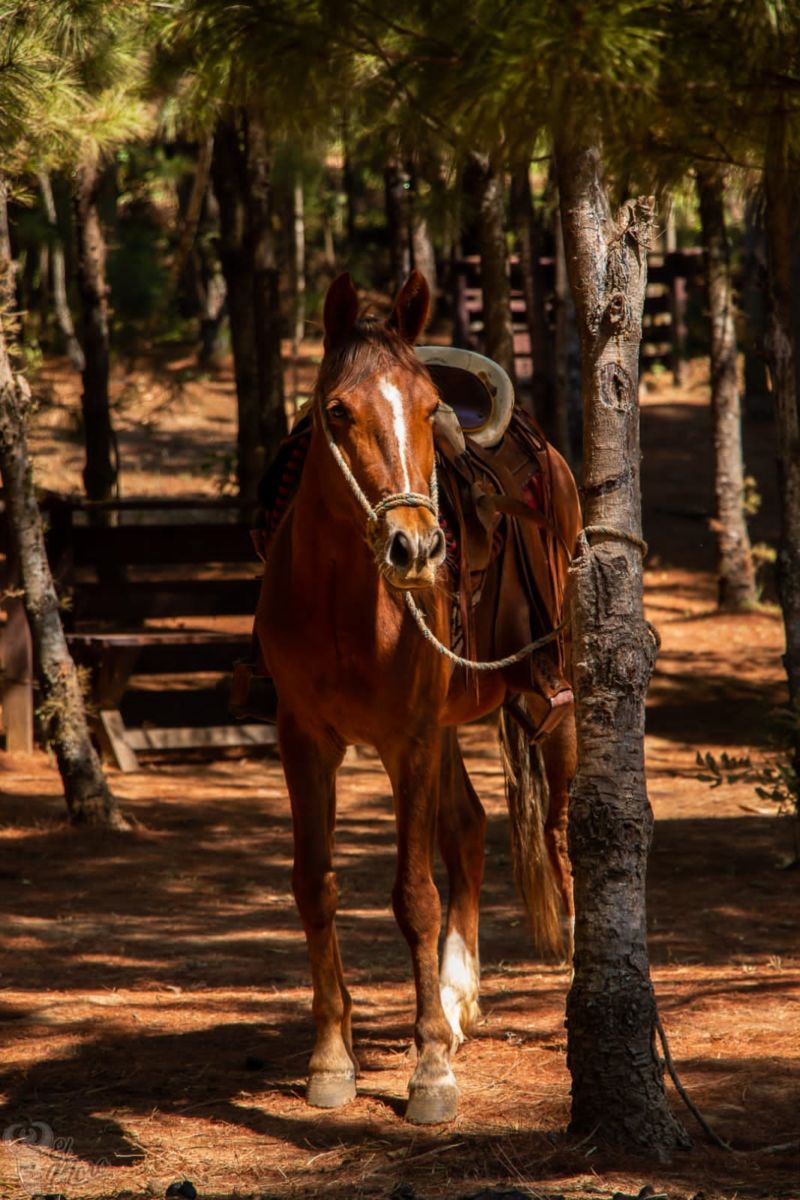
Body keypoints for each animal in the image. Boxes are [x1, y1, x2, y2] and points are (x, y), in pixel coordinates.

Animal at [254, 270, 581, 1125]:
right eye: (339, 411)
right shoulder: (305, 740)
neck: (342, 599)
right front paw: (332, 1060)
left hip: (549, 695)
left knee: (562, 829)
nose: (417, 548)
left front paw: (429, 1069)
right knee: (468, 828)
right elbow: (315, 884)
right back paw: (459, 995)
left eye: (429, 407)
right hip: (446, 728)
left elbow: (414, 897)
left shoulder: (408, 741)